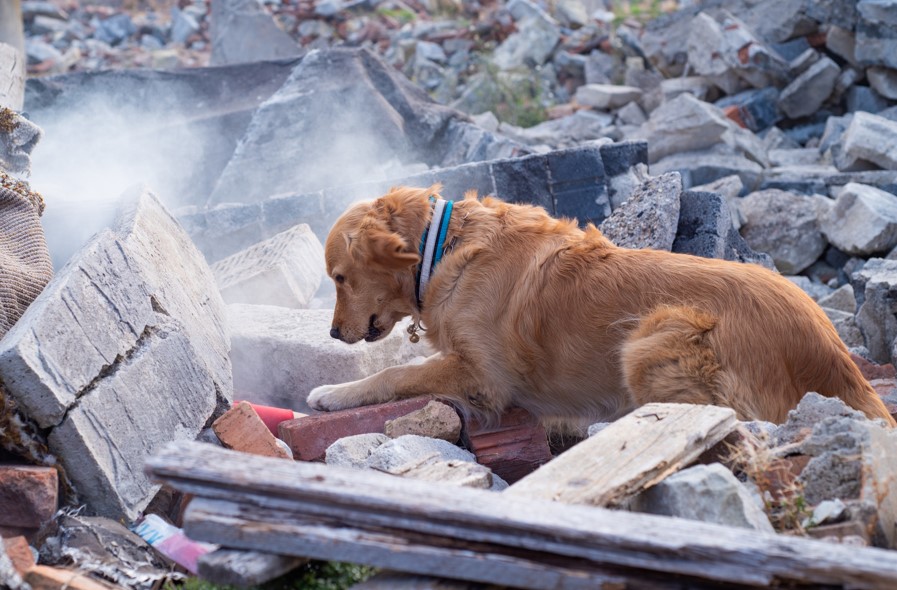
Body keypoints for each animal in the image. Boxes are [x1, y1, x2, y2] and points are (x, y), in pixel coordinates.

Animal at [308, 186, 896, 430]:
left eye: (339, 278)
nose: (333, 334)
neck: (442, 245)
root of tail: (835, 356)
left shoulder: (484, 377)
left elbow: (395, 375)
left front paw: (334, 392)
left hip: (653, 334)